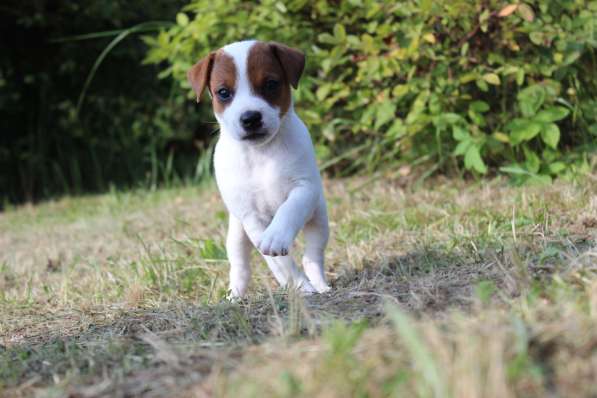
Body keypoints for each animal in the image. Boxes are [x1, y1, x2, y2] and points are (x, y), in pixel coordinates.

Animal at [187, 39, 330, 298]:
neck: (261, 152)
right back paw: (236, 294)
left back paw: (320, 285)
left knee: (312, 256)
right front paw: (299, 285)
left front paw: (277, 236)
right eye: (224, 92)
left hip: (319, 220)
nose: (250, 118)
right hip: (236, 237)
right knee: (242, 267)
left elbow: (289, 209)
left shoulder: (305, 188)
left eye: (271, 84)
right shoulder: (251, 216)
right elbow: (282, 263)